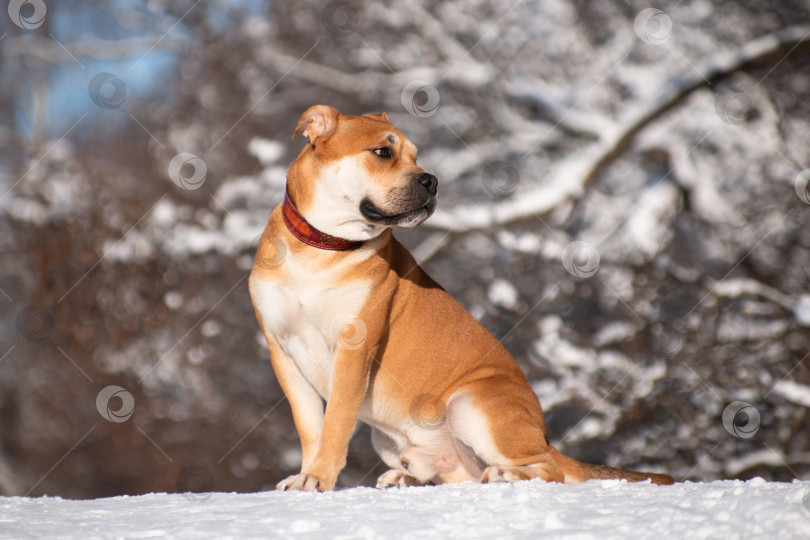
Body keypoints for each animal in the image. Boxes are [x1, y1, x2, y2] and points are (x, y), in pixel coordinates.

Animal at [248, 104, 668, 490]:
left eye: (415, 155)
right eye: (382, 152)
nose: (431, 180)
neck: (320, 247)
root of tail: (544, 437)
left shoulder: (354, 347)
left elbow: (335, 422)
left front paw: (317, 478)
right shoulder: (283, 350)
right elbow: (310, 427)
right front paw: (306, 474)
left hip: (470, 405)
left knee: (547, 470)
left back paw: (504, 474)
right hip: (393, 437)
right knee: (457, 475)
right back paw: (406, 478)